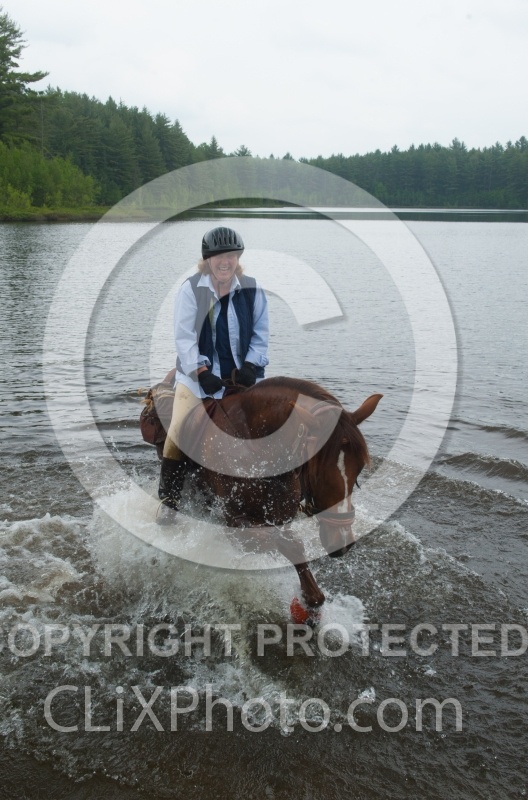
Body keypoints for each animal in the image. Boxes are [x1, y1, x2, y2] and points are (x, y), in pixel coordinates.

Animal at [176, 376, 382, 611]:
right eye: (317, 472)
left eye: (359, 469)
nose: (343, 542)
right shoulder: (233, 522)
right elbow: (287, 543)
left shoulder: (280, 516)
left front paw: (311, 596)